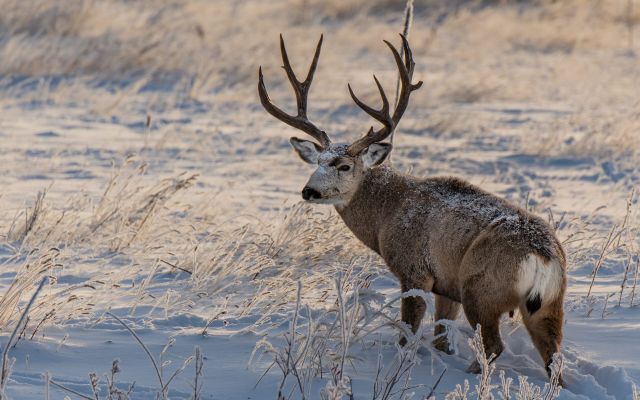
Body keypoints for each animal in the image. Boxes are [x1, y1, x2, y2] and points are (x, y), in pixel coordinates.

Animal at [258, 34, 566, 379]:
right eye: (319, 162)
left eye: (344, 166)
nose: (309, 191)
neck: (387, 213)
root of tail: (542, 255)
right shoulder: (446, 286)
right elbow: (441, 338)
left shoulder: (414, 271)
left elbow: (408, 334)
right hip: (547, 304)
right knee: (553, 358)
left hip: (481, 289)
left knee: (492, 346)